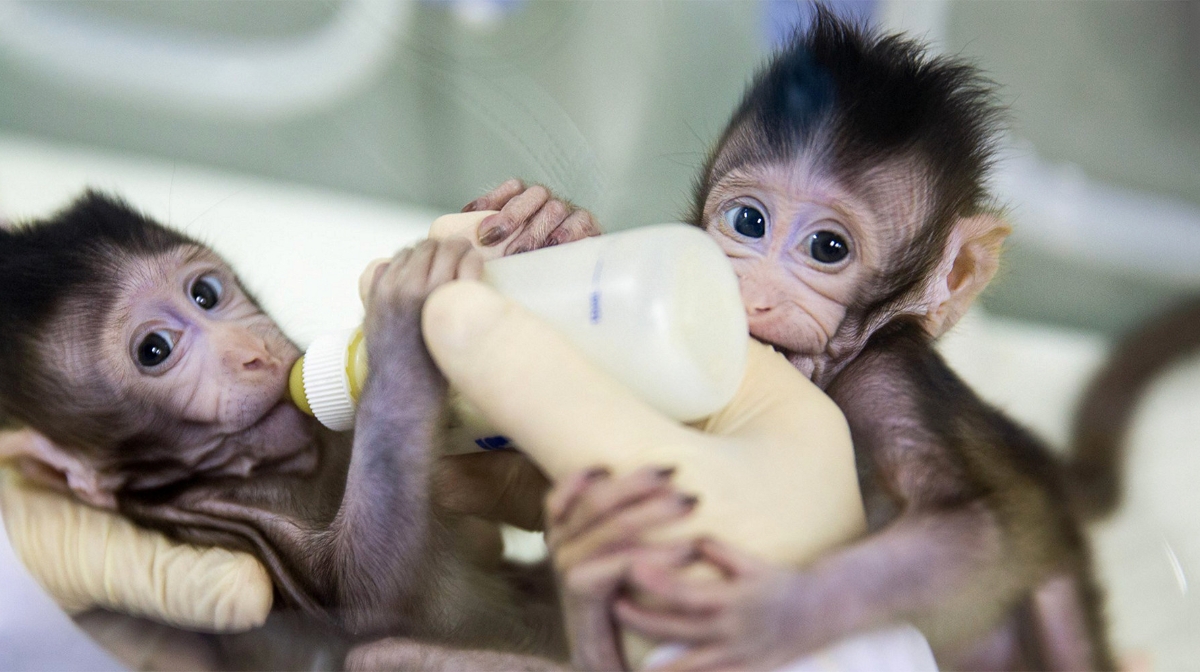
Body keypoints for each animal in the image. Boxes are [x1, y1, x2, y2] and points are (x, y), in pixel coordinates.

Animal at [468, 10, 1113, 672]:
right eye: (748, 221)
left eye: (828, 248)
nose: (748, 293)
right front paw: (552, 218)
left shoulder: (888, 375)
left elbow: (974, 534)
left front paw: (771, 610)